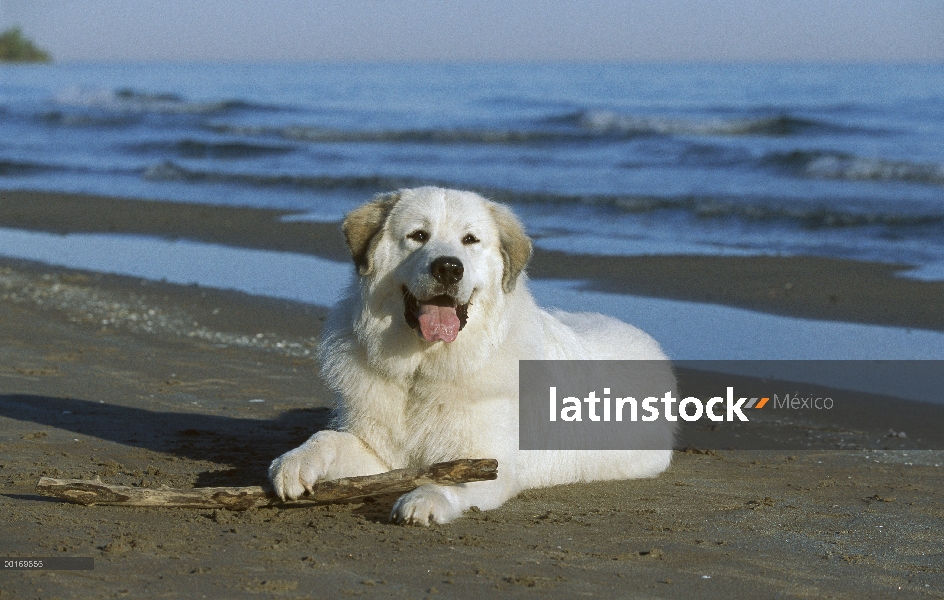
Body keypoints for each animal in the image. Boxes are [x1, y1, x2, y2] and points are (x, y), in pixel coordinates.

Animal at [270, 188, 676, 524]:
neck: (424, 370)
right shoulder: (380, 453)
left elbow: (450, 479)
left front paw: (423, 501)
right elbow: (327, 438)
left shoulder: (488, 463)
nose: (448, 267)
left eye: (470, 240)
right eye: (418, 235)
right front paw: (292, 463)